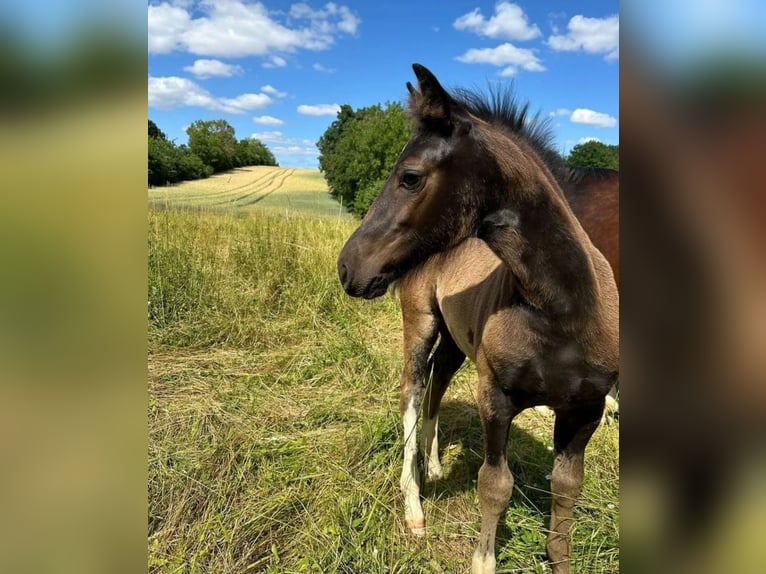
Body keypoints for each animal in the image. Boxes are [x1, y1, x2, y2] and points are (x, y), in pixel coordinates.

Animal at [337, 64, 619, 574]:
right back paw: (414, 504)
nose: (347, 267)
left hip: (454, 338)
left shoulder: (585, 409)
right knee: (412, 391)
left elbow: (566, 488)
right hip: (421, 321)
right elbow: (496, 485)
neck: (564, 311)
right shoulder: (495, 399)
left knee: (437, 380)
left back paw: (433, 464)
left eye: (410, 177)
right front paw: (483, 560)